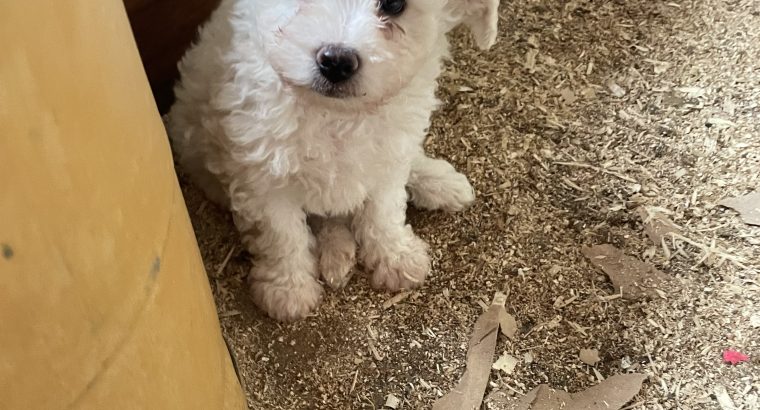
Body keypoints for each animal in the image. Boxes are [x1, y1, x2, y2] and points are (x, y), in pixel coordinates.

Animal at [168, 0, 498, 320]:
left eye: (394, 6)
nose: (336, 62)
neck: (335, 115)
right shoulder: (263, 177)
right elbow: (281, 235)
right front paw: (288, 289)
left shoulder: (387, 157)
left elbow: (384, 211)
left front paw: (395, 255)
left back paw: (440, 183)